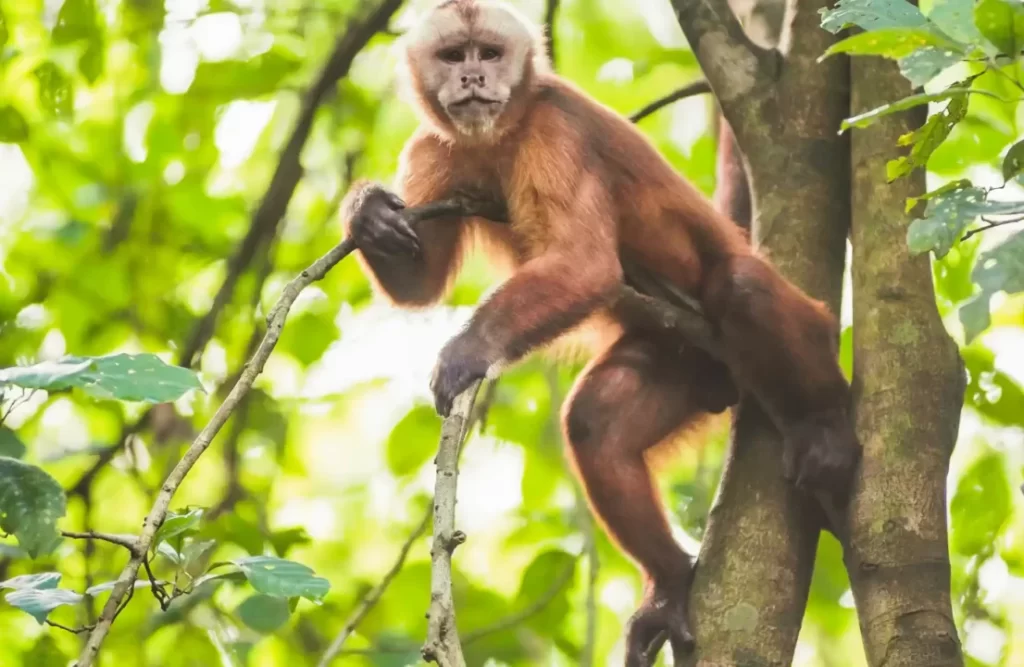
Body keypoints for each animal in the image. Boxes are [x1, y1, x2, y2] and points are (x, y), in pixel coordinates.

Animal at [339, 0, 860, 663]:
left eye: (490, 54)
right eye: (454, 56)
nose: (474, 78)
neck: (502, 134)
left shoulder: (552, 132)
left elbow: (586, 265)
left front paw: (468, 352)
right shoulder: (432, 145)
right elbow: (418, 283)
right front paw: (368, 213)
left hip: (786, 330)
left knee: (742, 287)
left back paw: (824, 424)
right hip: (687, 362)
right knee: (597, 425)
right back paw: (670, 585)